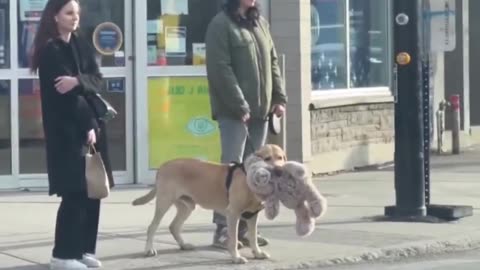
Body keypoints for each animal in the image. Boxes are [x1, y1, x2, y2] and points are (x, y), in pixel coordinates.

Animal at [132, 144, 284, 262]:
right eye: (267, 158)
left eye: (281, 157)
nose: (279, 170)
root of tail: (163, 166)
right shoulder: (233, 213)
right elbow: (234, 238)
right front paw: (236, 257)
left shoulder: (252, 216)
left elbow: (253, 237)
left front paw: (257, 253)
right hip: (164, 202)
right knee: (152, 227)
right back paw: (149, 250)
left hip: (187, 206)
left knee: (174, 226)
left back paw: (183, 245)